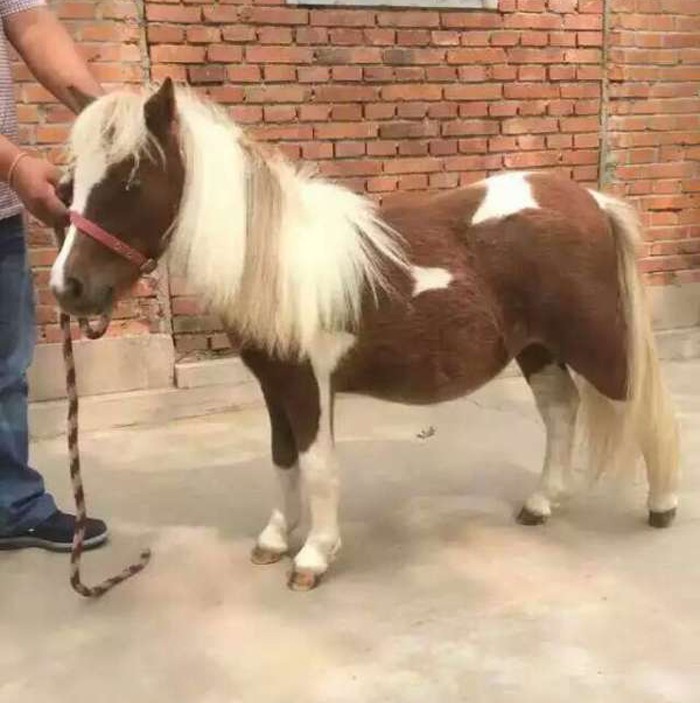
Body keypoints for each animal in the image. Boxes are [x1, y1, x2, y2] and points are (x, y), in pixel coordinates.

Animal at [50, 79, 679, 591]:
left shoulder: (309, 384)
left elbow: (318, 466)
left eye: (131, 179)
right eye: (67, 186)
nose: (68, 288)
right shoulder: (273, 385)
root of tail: (592, 201)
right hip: (537, 348)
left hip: (597, 344)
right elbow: (283, 460)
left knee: (646, 411)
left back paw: (663, 506)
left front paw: (313, 557)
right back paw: (541, 503)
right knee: (560, 410)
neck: (279, 262)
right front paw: (275, 540)